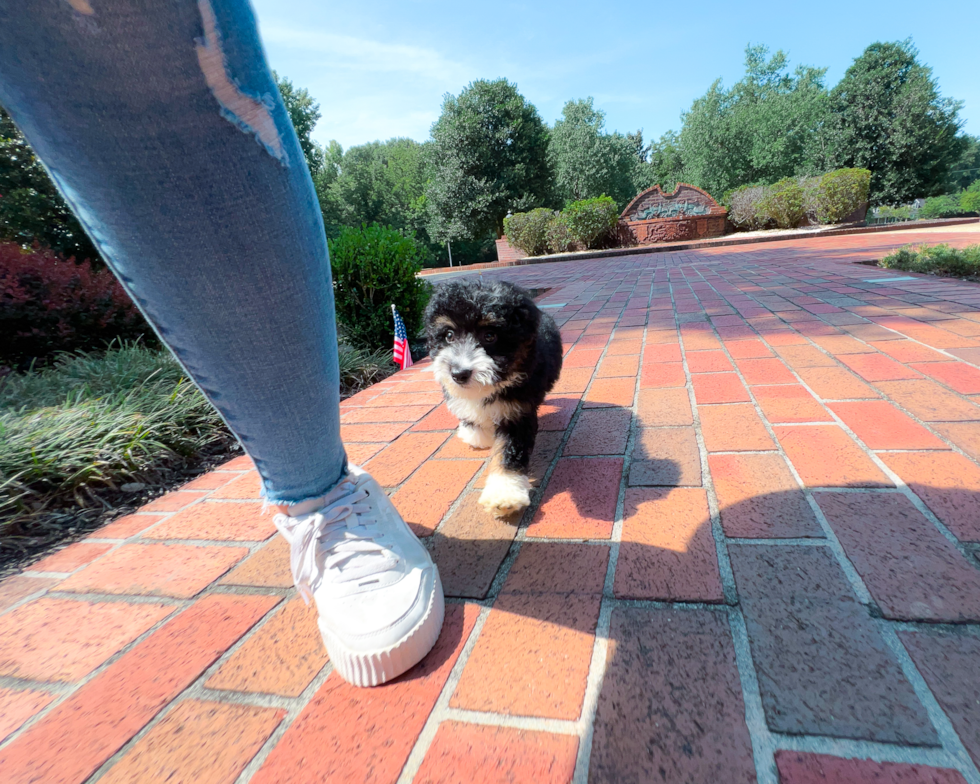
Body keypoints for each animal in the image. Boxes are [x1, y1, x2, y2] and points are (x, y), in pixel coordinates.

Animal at [424, 278, 564, 516]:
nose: (459, 374)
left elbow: (509, 451)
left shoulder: (517, 413)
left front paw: (504, 493)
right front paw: (476, 435)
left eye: (489, 336)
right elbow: (472, 417)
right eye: (449, 335)